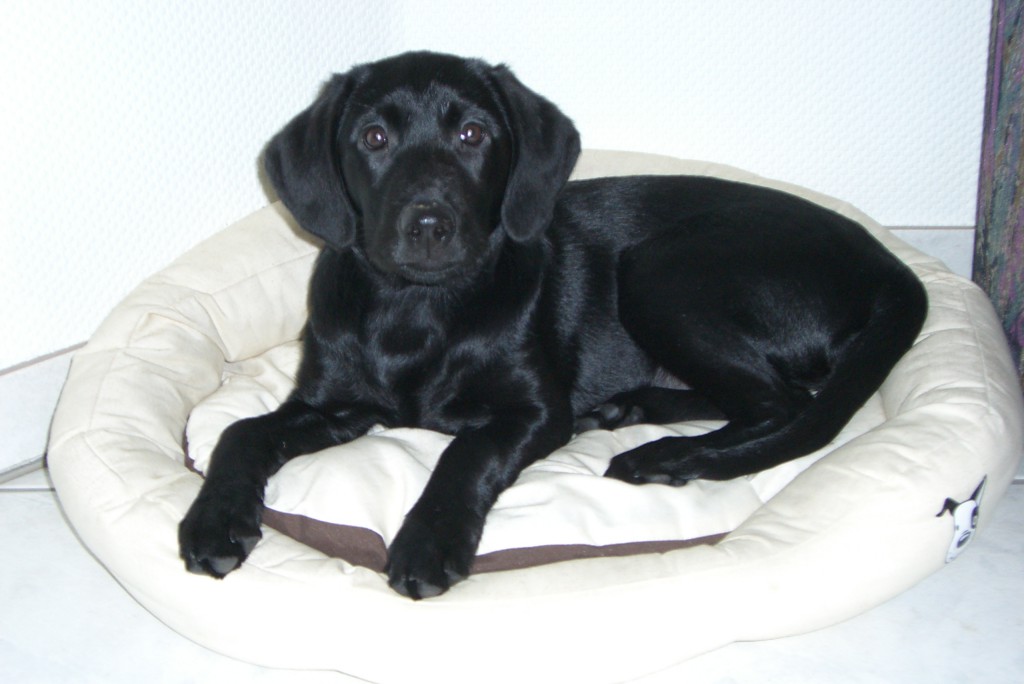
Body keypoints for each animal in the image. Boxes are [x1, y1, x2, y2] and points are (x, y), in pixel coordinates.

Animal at [179, 51, 927, 599]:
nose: (430, 224)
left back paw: (665, 455)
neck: (419, 310)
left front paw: (429, 541)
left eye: (473, 134)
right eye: (374, 138)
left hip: (663, 271)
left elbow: (464, 454)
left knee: (783, 405)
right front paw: (213, 523)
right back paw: (631, 408)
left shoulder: (535, 410)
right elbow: (241, 435)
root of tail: (888, 264)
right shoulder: (330, 402)